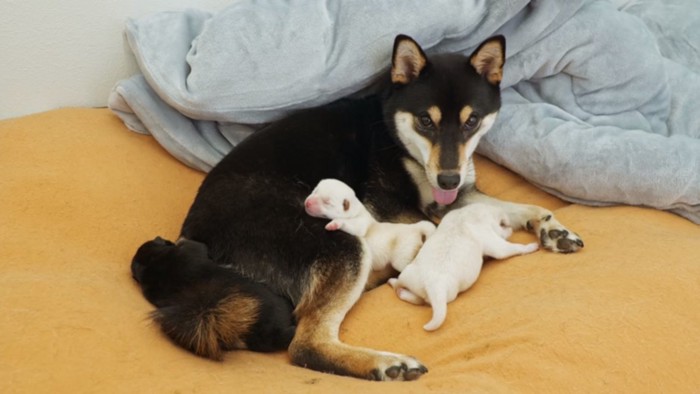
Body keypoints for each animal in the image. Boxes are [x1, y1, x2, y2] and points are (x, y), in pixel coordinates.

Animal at [306, 178, 438, 270]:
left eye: (327, 202)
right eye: (315, 190)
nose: (307, 203)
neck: (356, 209)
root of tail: (416, 227)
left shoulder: (361, 223)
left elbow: (353, 226)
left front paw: (335, 223)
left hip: (402, 255)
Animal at [386, 205, 540, 330]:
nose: (510, 227)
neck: (465, 215)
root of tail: (433, 285)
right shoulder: (494, 242)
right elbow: (510, 248)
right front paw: (531, 246)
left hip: (408, 276)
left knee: (407, 291)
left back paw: (396, 286)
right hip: (449, 294)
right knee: (424, 301)